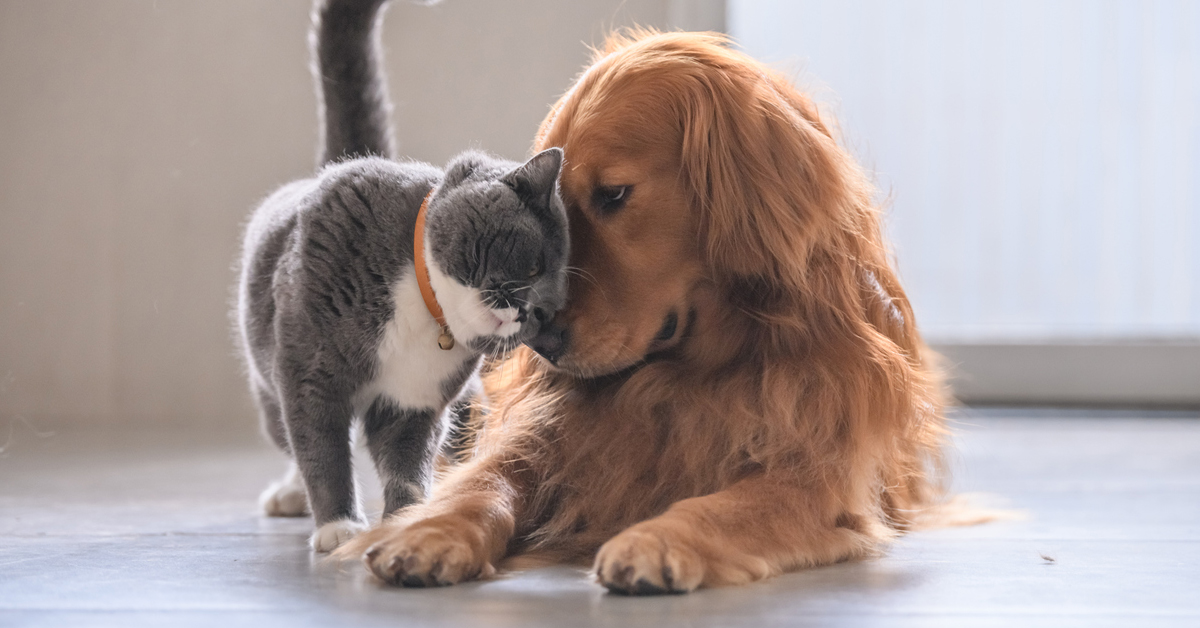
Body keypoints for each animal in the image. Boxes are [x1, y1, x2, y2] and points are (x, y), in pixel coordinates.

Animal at [238, 0, 571, 549]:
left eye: (548, 309)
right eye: (535, 265)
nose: (528, 311)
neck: (422, 306)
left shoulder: (415, 401)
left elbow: (406, 463)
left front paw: (406, 521)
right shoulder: (309, 373)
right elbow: (321, 449)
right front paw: (338, 526)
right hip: (268, 380)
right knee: (286, 433)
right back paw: (289, 494)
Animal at [348, 29, 945, 595]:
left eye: (614, 194)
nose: (540, 343)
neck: (688, 373)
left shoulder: (816, 475)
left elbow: (725, 505)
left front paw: (655, 541)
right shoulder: (543, 437)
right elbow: (483, 483)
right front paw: (427, 531)